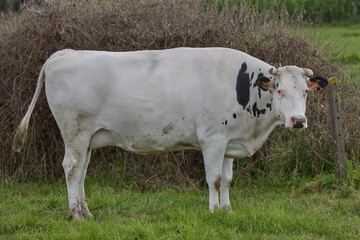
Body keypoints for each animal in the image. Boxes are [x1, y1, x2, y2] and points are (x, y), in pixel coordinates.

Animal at [13, 47, 330, 219]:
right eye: (279, 90)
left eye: (305, 92)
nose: (298, 120)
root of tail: (65, 53)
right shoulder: (213, 139)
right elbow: (214, 179)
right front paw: (213, 211)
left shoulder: (229, 142)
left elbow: (227, 179)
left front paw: (227, 210)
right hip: (75, 131)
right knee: (71, 168)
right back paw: (76, 215)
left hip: (87, 138)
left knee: (80, 172)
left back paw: (85, 212)